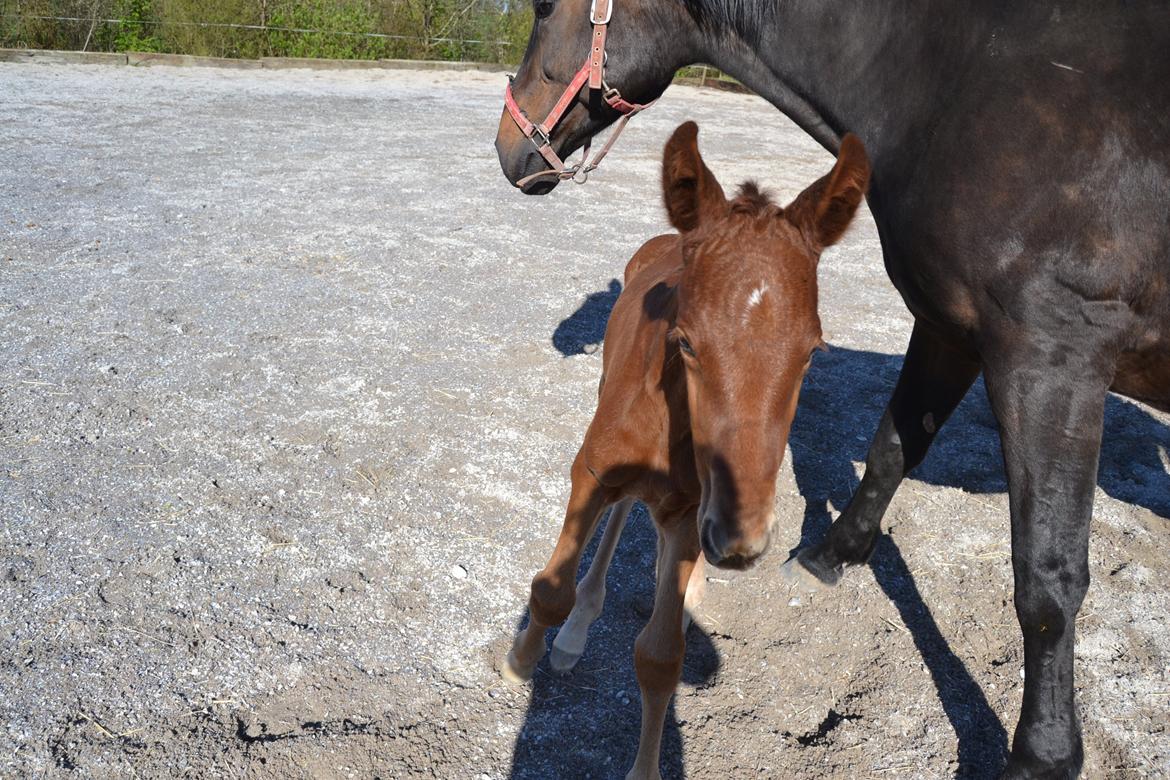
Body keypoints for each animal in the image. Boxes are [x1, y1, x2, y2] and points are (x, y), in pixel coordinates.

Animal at [503, 123, 870, 780]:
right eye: (687, 341)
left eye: (813, 350)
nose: (741, 540)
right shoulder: (592, 470)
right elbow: (551, 587)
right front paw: (520, 661)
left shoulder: (688, 514)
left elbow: (661, 657)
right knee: (619, 513)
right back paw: (572, 635)